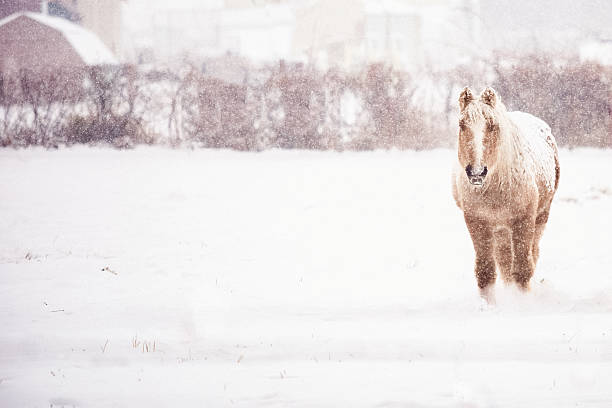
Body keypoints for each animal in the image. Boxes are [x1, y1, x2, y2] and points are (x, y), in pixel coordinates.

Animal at [450, 87, 560, 302]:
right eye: (461, 124)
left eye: (492, 125)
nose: (476, 172)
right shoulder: (477, 221)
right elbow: (486, 271)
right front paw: (489, 305)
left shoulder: (523, 220)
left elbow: (523, 269)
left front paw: (522, 303)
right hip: (500, 230)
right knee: (504, 262)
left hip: (540, 217)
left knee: (531, 255)